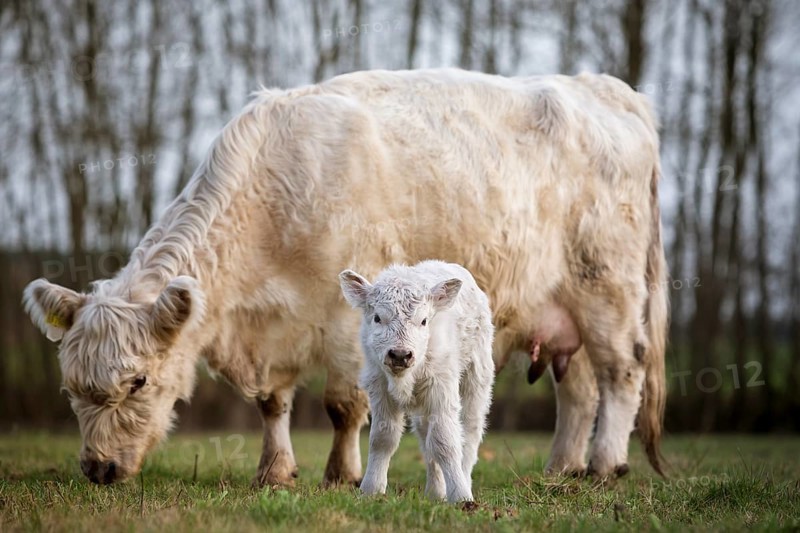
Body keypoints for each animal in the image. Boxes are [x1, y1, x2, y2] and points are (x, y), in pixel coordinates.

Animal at [339, 261, 494, 502]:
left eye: (423, 321)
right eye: (377, 318)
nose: (400, 354)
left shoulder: (442, 387)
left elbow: (445, 441)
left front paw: (460, 496)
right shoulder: (379, 387)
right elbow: (382, 438)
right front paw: (371, 490)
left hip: (477, 375)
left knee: (470, 430)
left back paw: (463, 480)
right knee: (426, 437)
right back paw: (436, 492)